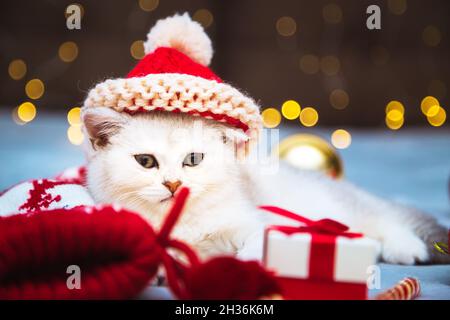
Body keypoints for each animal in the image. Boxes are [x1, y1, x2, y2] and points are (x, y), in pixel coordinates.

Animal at [82, 107, 448, 264]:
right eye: (145, 161)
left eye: (194, 159)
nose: (173, 183)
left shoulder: (251, 219)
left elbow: (259, 238)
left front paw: (247, 256)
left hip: (339, 208)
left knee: (383, 219)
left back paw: (406, 248)